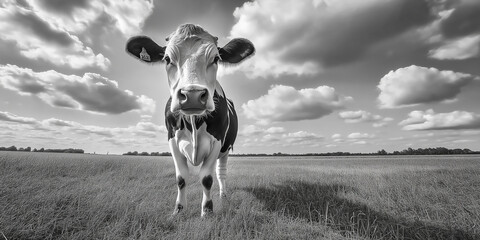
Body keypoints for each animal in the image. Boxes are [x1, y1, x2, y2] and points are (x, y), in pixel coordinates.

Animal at [126, 23, 255, 216]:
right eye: (167, 59)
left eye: (216, 58)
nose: (192, 95)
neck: (193, 121)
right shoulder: (172, 140)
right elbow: (181, 178)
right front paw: (179, 210)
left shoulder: (217, 142)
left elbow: (207, 178)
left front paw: (207, 211)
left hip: (225, 149)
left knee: (221, 172)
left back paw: (223, 195)